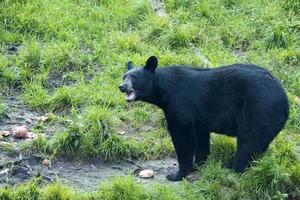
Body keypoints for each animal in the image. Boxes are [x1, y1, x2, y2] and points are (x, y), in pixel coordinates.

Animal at [118, 55, 290, 181]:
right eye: (124, 76)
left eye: (134, 77)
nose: (122, 86)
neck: (163, 92)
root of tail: (285, 102)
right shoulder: (200, 118)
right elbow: (201, 139)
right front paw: (197, 164)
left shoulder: (180, 106)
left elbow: (182, 137)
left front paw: (176, 174)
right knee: (257, 146)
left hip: (258, 111)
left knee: (248, 141)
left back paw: (233, 170)